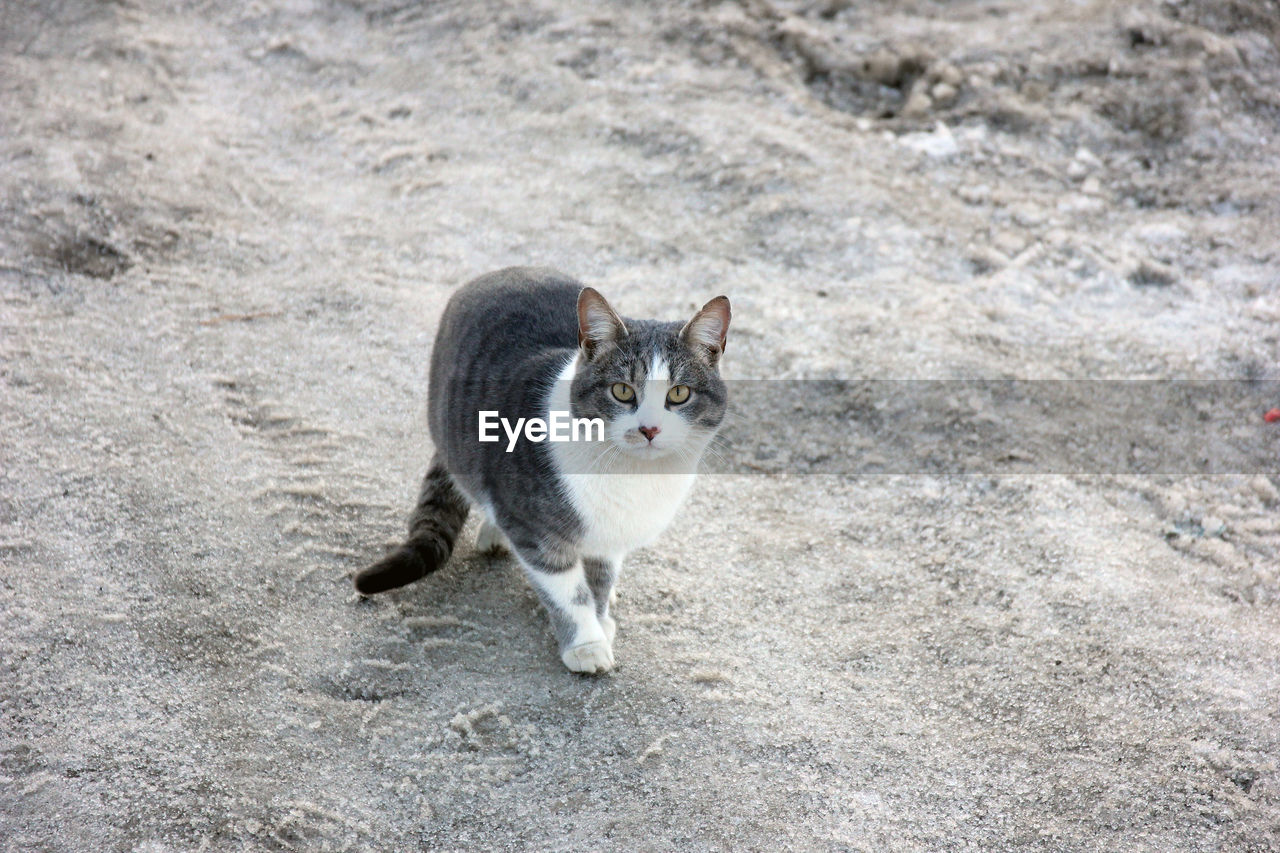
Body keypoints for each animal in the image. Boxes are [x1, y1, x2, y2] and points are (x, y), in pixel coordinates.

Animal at [355, 266, 737, 671]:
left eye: (679, 394)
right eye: (621, 391)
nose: (650, 429)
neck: (632, 477)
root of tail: (508, 271)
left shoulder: (611, 531)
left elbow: (600, 577)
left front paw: (602, 616)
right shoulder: (536, 531)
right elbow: (568, 591)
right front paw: (587, 644)